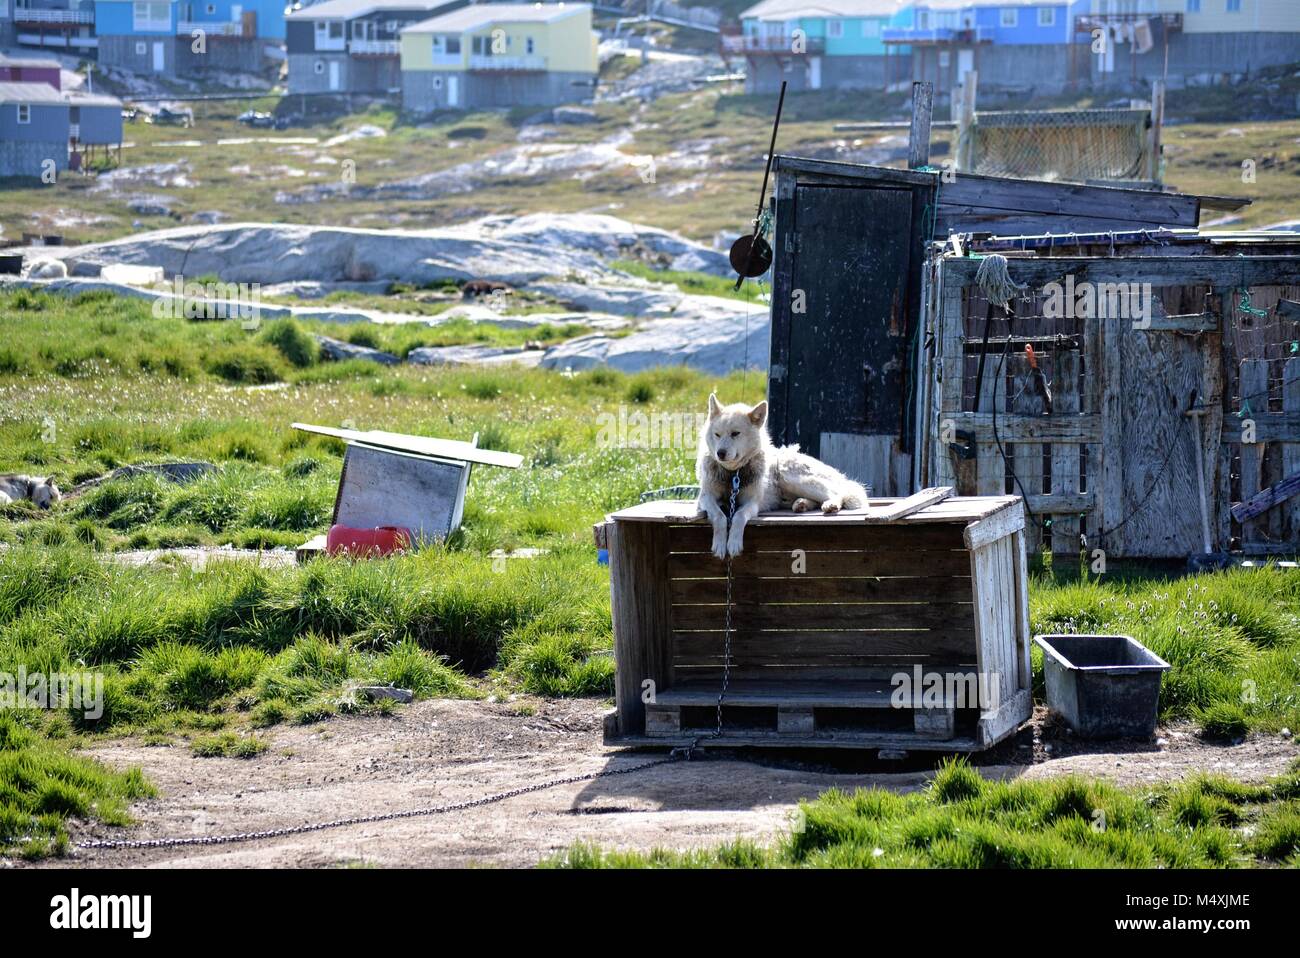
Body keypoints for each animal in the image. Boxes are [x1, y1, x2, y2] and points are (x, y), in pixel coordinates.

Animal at [696, 395, 868, 561]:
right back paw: (801, 504)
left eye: (735, 433)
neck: (733, 473)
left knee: (837, 494)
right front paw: (719, 544)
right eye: (717, 435)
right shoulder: (705, 498)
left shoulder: (752, 503)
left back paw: (830, 505)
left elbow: (739, 516)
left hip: (789, 477)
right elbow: (719, 516)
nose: (720, 453)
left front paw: (733, 543)